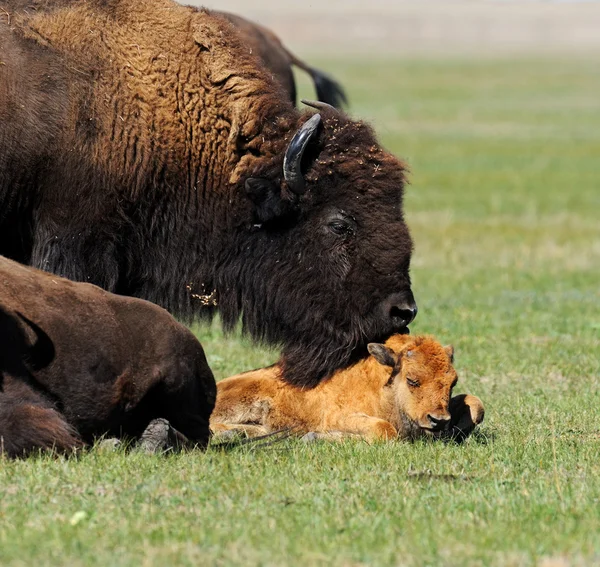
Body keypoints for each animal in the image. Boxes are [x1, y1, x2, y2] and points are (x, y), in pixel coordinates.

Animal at [211, 336, 482, 442]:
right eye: (412, 380)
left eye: (452, 382)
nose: (439, 420)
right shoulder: (336, 416)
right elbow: (384, 430)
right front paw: (314, 437)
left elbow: (476, 405)